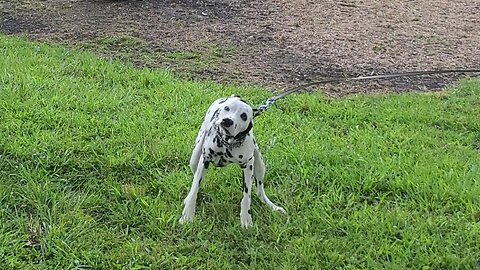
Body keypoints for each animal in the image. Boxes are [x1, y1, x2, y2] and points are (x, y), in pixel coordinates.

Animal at [179, 95, 284, 228]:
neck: (226, 143)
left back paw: (272, 206)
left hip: (260, 165)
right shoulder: (204, 161)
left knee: (259, 191)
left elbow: (247, 195)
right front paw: (187, 215)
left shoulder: (248, 166)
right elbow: (194, 189)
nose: (227, 121)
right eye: (227, 108)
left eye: (244, 116)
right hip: (194, 159)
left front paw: (246, 219)